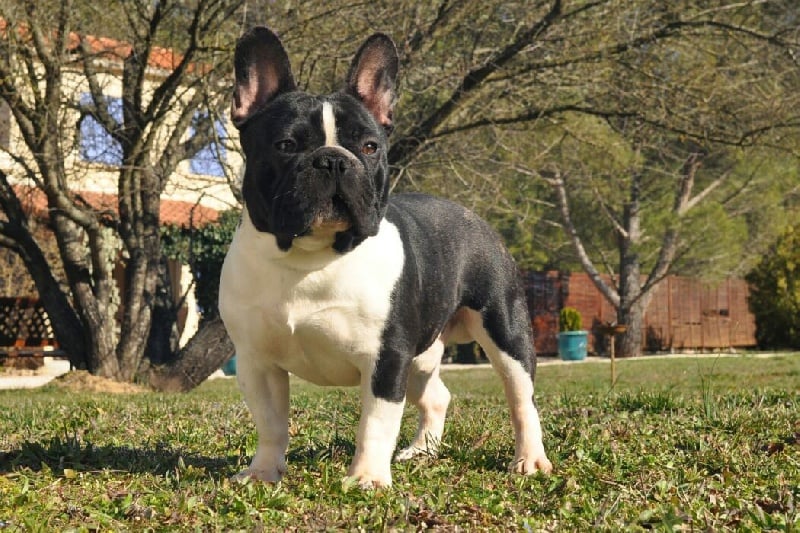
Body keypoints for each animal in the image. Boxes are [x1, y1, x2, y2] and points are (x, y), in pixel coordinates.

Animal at [219, 26, 552, 488]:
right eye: (285, 145)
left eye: (370, 146)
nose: (333, 160)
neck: (312, 258)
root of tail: (472, 215)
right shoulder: (257, 363)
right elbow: (270, 423)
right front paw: (263, 472)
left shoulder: (386, 359)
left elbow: (375, 423)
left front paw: (367, 478)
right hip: (421, 354)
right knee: (437, 396)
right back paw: (422, 451)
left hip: (503, 330)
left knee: (523, 397)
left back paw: (530, 459)